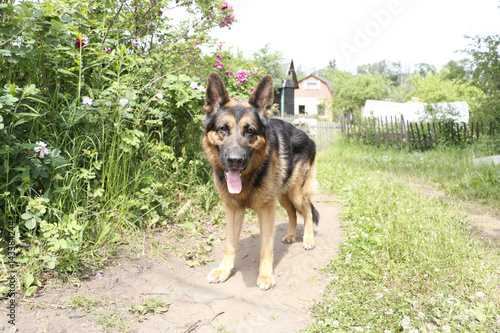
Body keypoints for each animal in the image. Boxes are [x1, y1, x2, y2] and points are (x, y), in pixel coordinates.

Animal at [203, 72, 320, 288]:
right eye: (223, 129)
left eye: (250, 131)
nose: (235, 160)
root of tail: (308, 136)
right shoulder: (233, 210)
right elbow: (230, 245)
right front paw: (224, 270)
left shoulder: (266, 210)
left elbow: (266, 248)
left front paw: (265, 276)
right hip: (282, 196)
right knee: (292, 213)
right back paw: (291, 236)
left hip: (295, 192)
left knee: (307, 211)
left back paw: (308, 239)